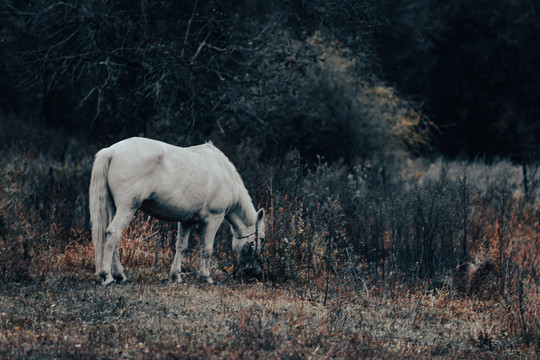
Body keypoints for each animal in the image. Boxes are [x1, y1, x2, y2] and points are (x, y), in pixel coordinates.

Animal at [89, 136, 266, 286]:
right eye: (262, 239)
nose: (255, 273)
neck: (223, 172)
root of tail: (112, 151)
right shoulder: (214, 219)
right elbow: (207, 248)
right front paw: (205, 277)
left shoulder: (187, 221)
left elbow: (181, 246)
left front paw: (176, 276)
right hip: (127, 207)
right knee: (113, 234)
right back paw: (107, 276)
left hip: (114, 208)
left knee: (113, 238)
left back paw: (119, 275)